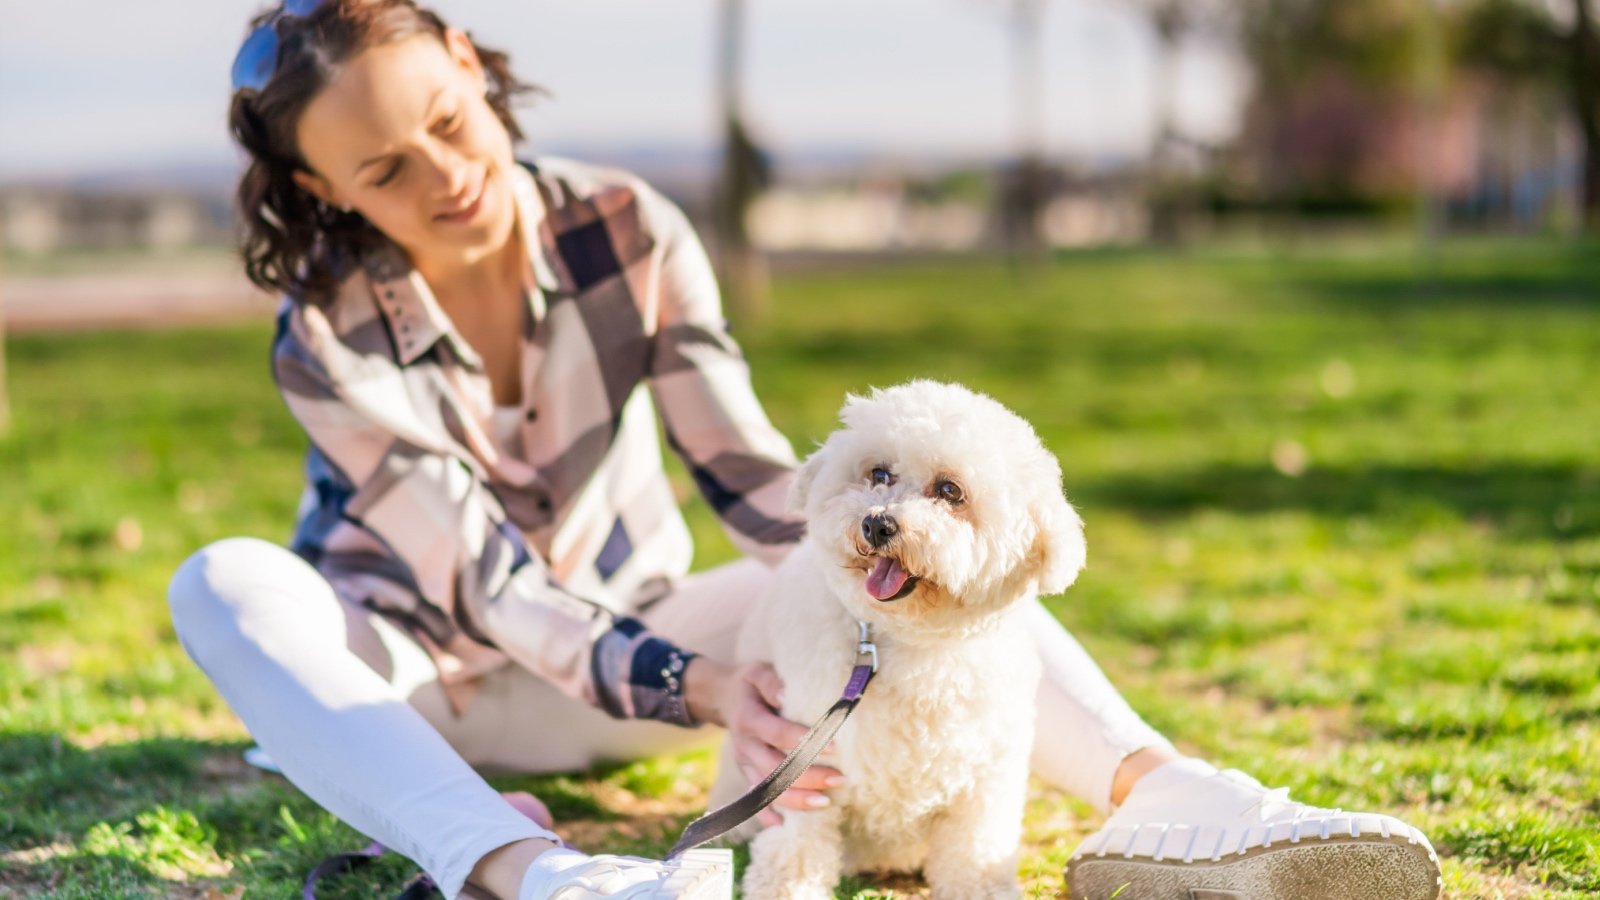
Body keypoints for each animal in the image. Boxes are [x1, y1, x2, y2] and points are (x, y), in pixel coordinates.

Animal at [713, 377, 1088, 896]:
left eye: (950, 490)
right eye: (879, 474)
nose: (876, 523)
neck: (910, 642)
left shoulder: (989, 773)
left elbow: (975, 850)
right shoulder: (810, 768)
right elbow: (798, 845)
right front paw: (786, 889)